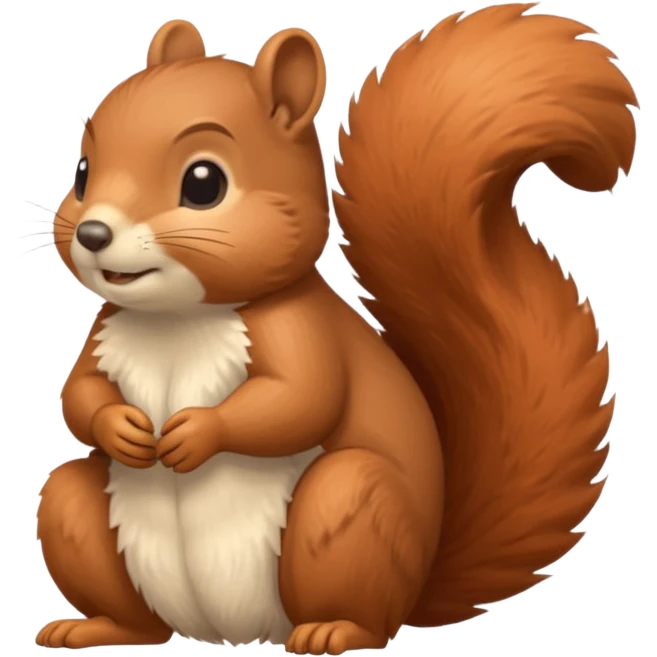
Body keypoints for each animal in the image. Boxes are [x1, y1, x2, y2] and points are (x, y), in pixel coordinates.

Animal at [34, 3, 636, 654]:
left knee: (365, 608)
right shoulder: (106, 331)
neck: (179, 321)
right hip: (80, 521)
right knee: (123, 595)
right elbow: (78, 396)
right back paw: (95, 626)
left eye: (203, 183)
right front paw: (119, 427)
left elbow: (300, 400)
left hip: (348, 509)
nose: (93, 233)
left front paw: (196, 432)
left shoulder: (299, 331)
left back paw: (333, 630)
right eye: (83, 172)